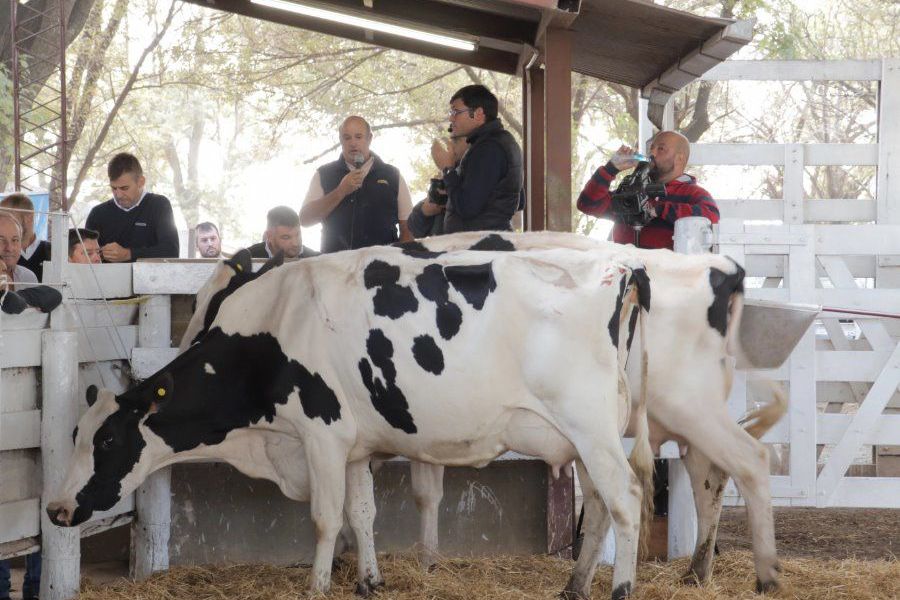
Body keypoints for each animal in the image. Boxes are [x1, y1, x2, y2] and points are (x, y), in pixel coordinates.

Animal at [49, 244, 652, 600]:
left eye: (107, 438)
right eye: (74, 434)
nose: (56, 510)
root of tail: (620, 271)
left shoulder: (322, 434)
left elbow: (323, 517)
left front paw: (317, 586)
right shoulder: (356, 446)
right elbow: (361, 514)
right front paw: (368, 579)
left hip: (592, 430)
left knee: (626, 497)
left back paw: (620, 588)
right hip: (585, 439)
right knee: (600, 507)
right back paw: (575, 586)